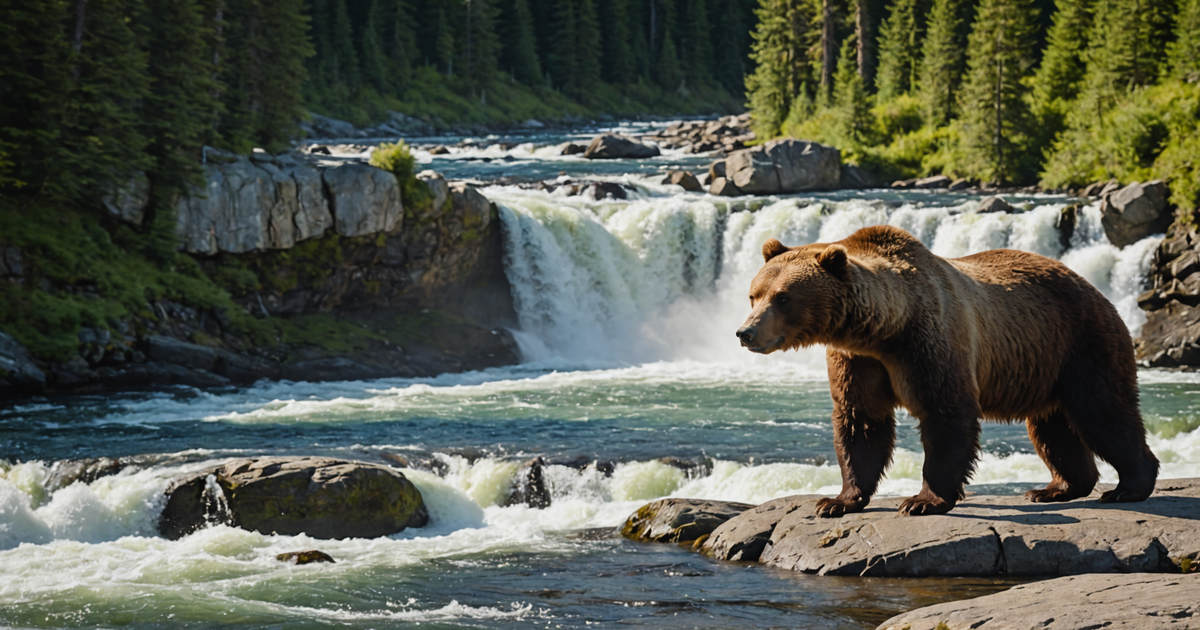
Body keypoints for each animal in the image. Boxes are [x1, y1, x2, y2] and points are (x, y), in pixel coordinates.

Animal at [736, 224, 1159, 517]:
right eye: (754, 294)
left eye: (783, 298)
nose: (745, 332)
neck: (882, 329)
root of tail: (1094, 288)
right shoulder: (857, 361)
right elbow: (861, 421)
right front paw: (837, 501)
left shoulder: (928, 341)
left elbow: (946, 413)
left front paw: (922, 500)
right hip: (1045, 366)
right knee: (1052, 429)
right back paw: (1055, 488)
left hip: (1081, 343)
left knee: (1103, 412)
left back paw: (1129, 485)